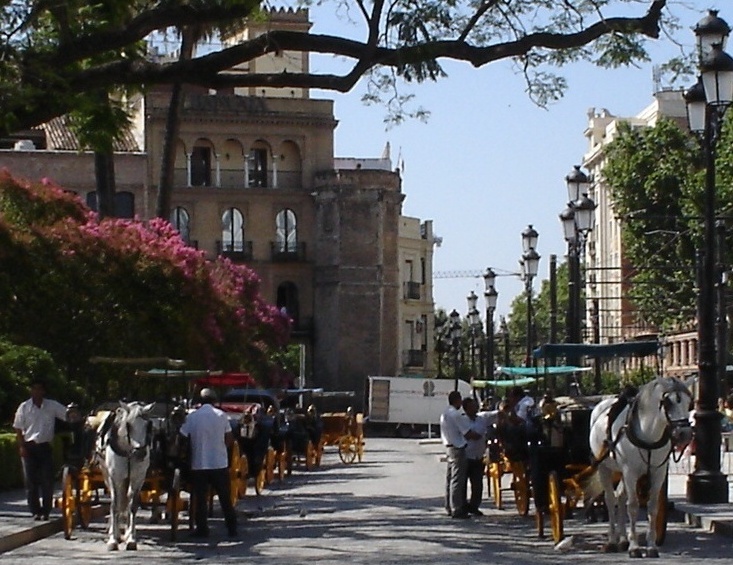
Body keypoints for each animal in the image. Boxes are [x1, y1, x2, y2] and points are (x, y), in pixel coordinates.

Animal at [96, 400, 153, 552]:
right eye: (128, 424)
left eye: (148, 425)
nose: (140, 453)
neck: (128, 451)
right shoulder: (115, 476)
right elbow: (115, 505)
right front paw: (113, 540)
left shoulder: (138, 478)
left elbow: (132, 506)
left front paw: (131, 539)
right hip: (107, 475)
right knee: (114, 500)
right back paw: (114, 532)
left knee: (126, 500)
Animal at [584, 376, 692, 556]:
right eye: (668, 402)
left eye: (689, 402)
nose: (685, 434)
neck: (648, 434)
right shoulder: (630, 471)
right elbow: (633, 506)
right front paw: (634, 547)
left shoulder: (658, 472)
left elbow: (653, 506)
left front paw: (651, 546)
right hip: (605, 468)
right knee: (610, 499)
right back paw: (612, 541)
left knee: (620, 497)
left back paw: (622, 540)